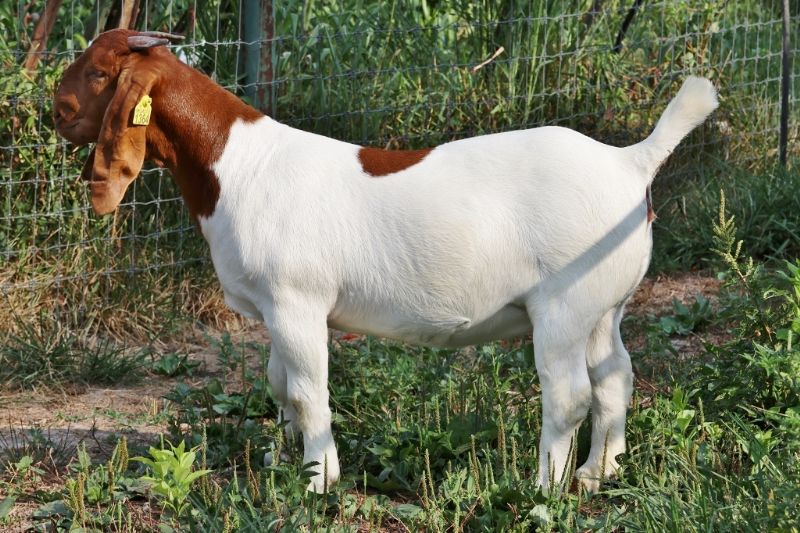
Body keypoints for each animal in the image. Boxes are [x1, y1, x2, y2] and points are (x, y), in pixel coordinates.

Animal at [54, 29, 718, 493]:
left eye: (98, 72)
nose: (54, 111)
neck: (237, 164)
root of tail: (629, 162)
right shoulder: (277, 309)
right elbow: (280, 387)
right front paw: (280, 463)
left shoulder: (296, 302)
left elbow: (310, 391)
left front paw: (318, 482)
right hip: (605, 306)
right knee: (616, 379)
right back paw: (598, 474)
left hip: (564, 305)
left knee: (569, 394)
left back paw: (545, 488)